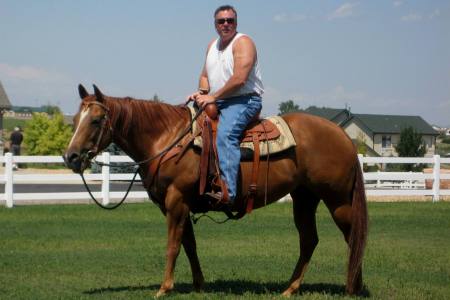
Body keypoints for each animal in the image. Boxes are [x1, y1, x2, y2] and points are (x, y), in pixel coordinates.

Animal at [63, 84, 368, 298]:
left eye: (95, 120)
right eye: (76, 119)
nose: (71, 157)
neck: (168, 138)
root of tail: (344, 137)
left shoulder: (176, 201)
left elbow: (173, 245)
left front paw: (164, 287)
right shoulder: (179, 204)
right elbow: (189, 245)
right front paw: (199, 284)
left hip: (337, 200)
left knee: (353, 236)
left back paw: (353, 287)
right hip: (305, 198)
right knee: (309, 240)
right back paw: (291, 288)